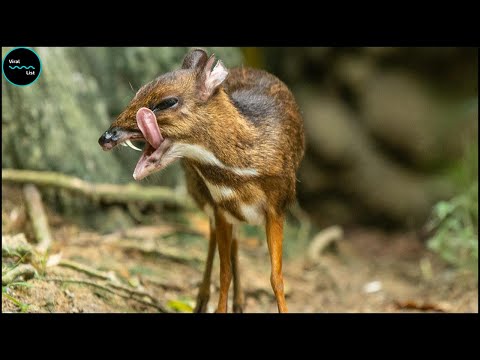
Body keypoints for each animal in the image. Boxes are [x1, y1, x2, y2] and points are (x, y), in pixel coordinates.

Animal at [99, 49, 306, 314]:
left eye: (167, 102)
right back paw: (204, 301)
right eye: (138, 92)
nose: (106, 136)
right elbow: (224, 272)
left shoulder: (277, 206)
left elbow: (276, 277)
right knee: (216, 243)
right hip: (200, 194)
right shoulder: (220, 207)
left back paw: (239, 303)